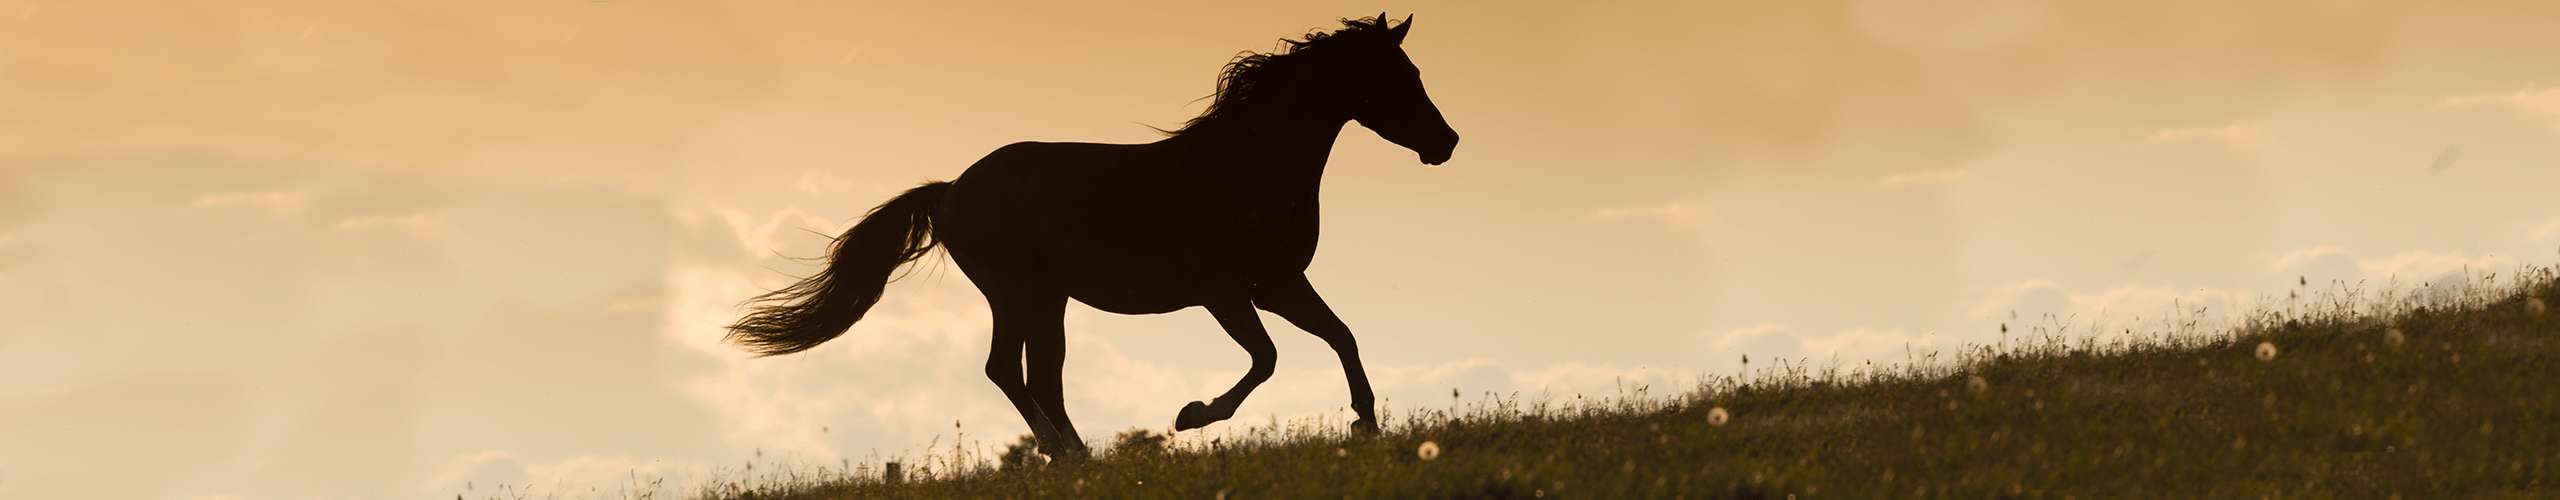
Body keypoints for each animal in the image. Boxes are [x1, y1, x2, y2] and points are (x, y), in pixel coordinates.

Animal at [732, 13, 1474, 458]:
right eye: (1400, 77)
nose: (1446, 143)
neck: (1245, 166)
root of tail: (950, 192)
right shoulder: (1228, 292)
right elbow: (1266, 360)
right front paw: (1191, 415)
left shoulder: (1279, 283)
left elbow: (1341, 335)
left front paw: (1367, 424)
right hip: (1021, 293)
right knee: (1014, 371)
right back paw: (1070, 454)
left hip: (1044, 299)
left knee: (1033, 373)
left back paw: (1073, 454)